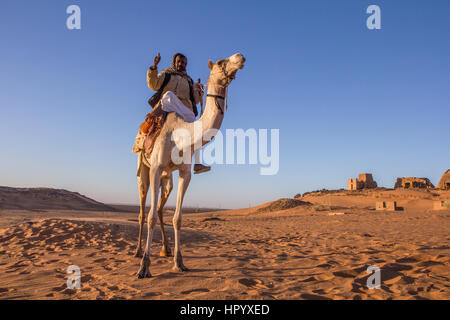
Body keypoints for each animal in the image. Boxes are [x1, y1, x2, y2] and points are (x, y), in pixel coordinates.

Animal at [134, 52, 246, 278]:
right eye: (220, 62)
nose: (240, 56)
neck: (179, 135)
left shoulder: (185, 173)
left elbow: (177, 218)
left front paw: (179, 262)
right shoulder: (156, 168)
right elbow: (150, 217)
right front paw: (144, 267)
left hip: (167, 178)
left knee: (160, 207)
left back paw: (165, 249)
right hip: (144, 169)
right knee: (143, 210)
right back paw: (138, 251)